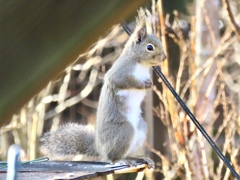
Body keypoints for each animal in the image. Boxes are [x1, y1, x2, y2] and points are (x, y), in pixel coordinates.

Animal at [40, 8, 166, 167]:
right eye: (149, 47)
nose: (164, 57)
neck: (141, 64)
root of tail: (100, 149)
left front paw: (149, 84)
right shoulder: (119, 72)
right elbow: (122, 81)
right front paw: (142, 84)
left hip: (141, 129)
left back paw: (139, 158)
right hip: (124, 131)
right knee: (112, 158)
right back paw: (122, 160)